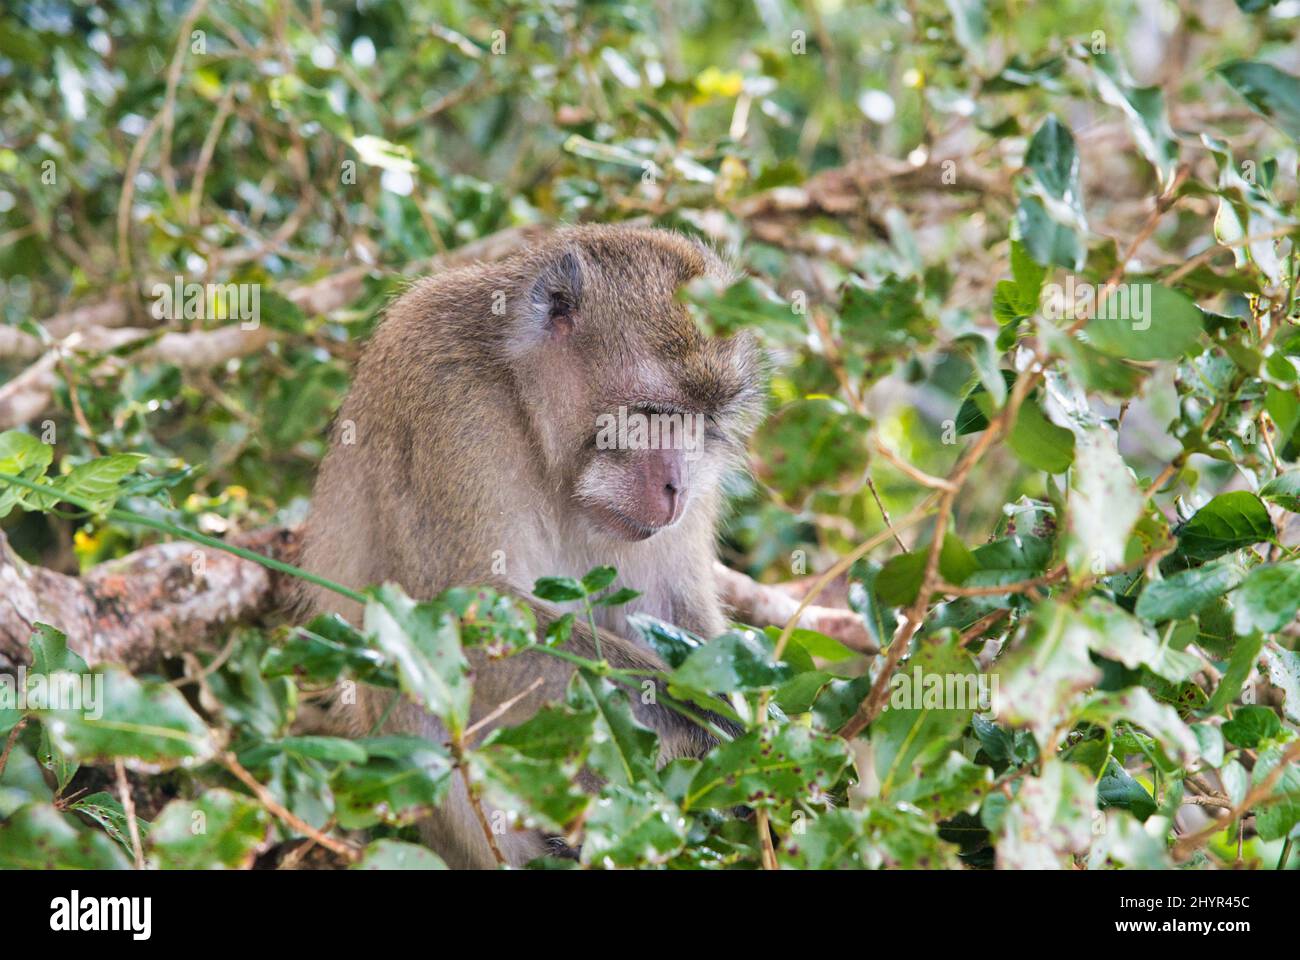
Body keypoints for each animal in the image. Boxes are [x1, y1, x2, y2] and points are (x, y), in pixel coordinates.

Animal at [296, 225, 764, 868]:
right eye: (652, 414)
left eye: (703, 422)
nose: (678, 488)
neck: (524, 404)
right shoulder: (449, 400)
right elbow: (457, 608)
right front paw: (707, 714)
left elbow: (667, 609)